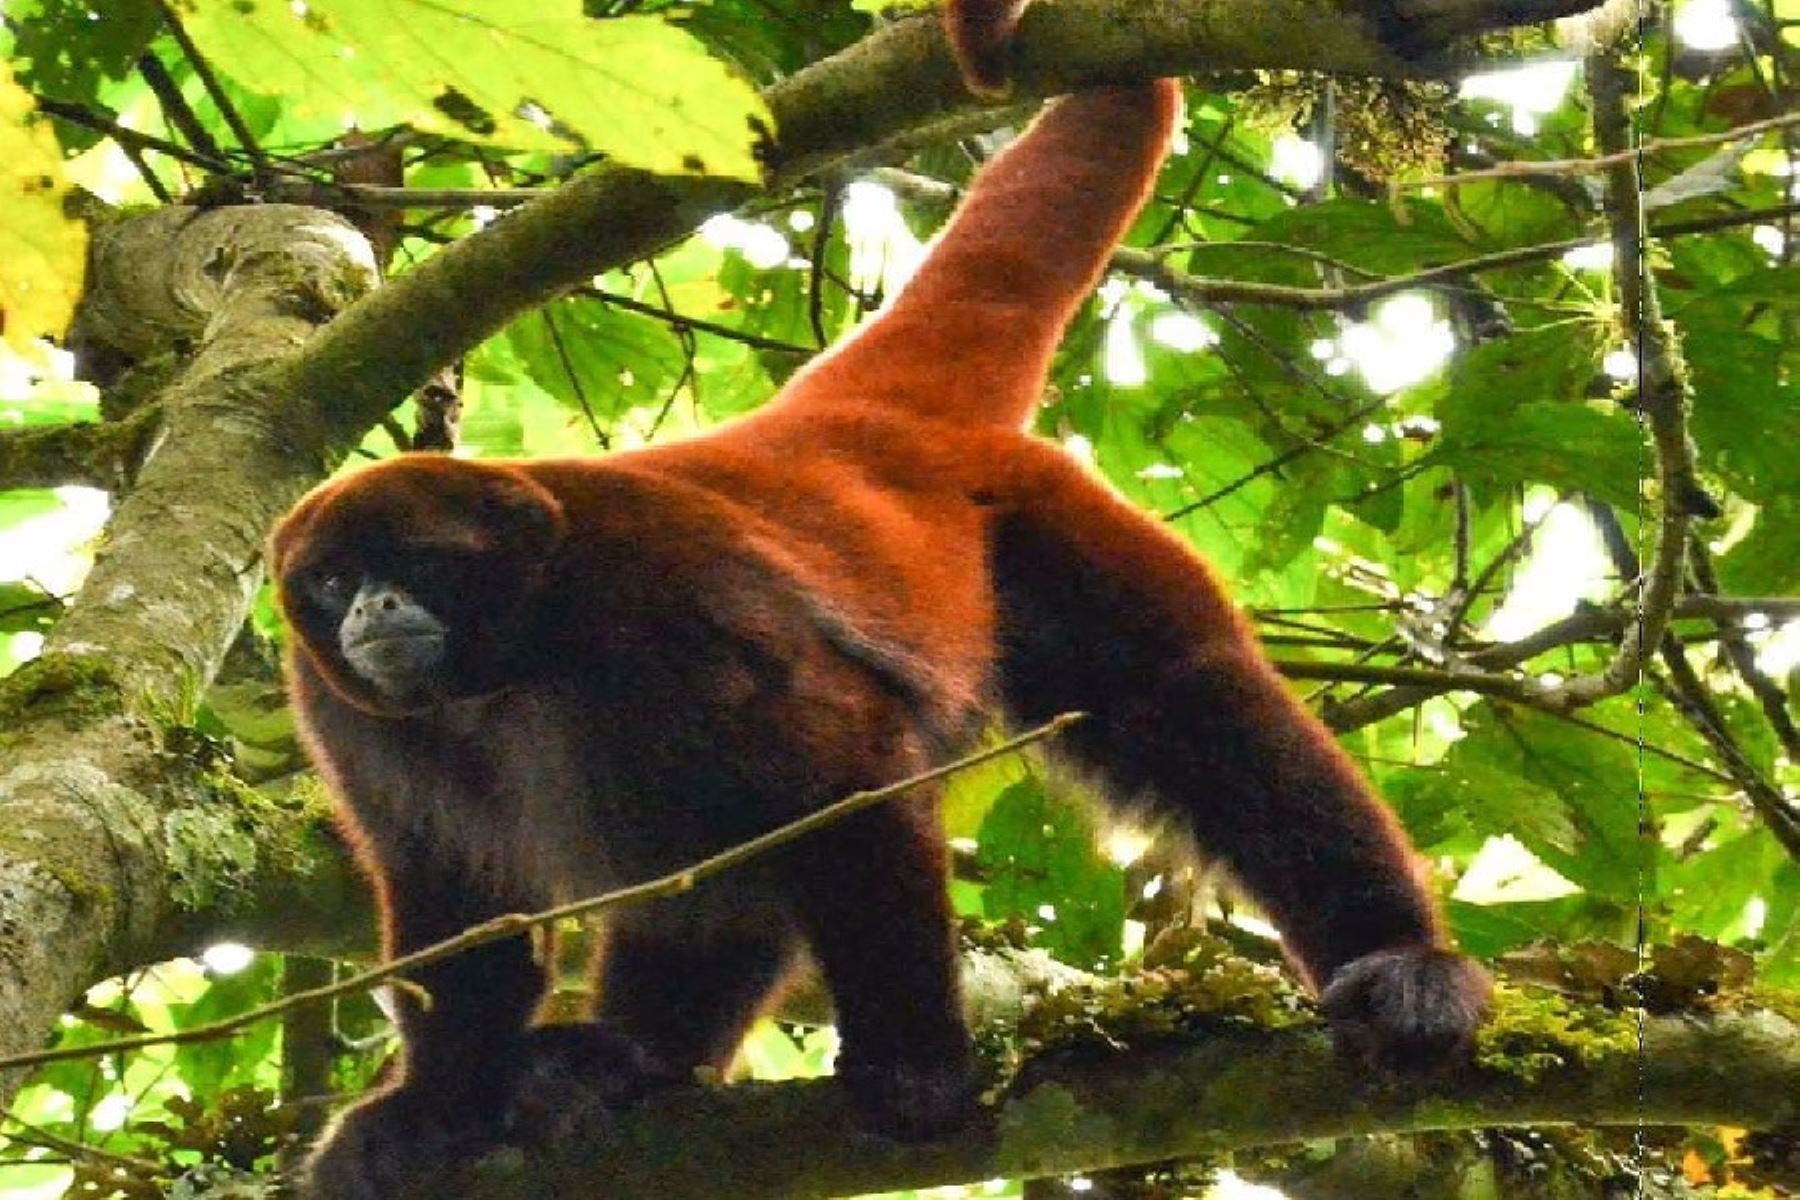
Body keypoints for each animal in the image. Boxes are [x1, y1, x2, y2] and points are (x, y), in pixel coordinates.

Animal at [280, 7, 1490, 1194]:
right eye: (331, 580)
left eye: (412, 559)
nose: (370, 611)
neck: (516, 655)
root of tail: (845, 423)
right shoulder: (341, 709)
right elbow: (452, 896)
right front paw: (435, 1109)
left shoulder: (663, 598)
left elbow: (844, 767)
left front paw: (915, 1066)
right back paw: (625, 1064)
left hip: (1039, 520)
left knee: (1187, 700)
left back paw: (1403, 963)